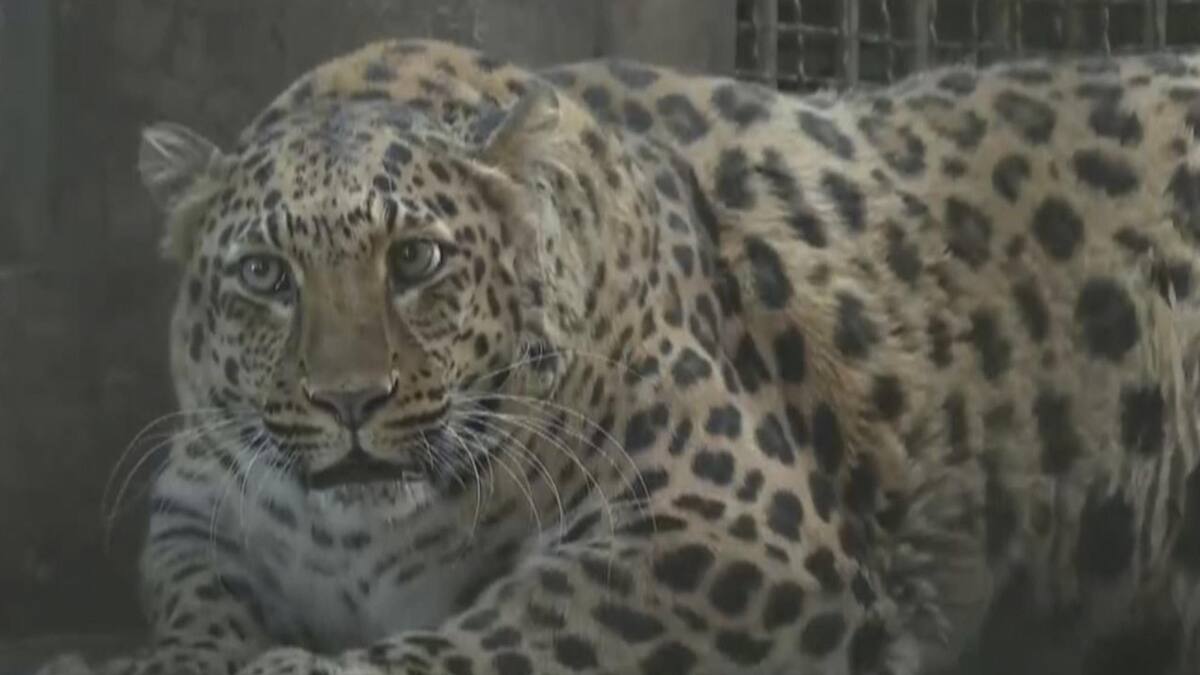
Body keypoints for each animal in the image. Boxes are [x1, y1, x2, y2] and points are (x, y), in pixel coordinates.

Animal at [33, 37, 1200, 675]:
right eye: (266, 275)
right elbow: (196, 597)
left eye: (416, 259)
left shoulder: (727, 532)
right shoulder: (195, 508)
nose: (350, 402)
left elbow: (506, 633)